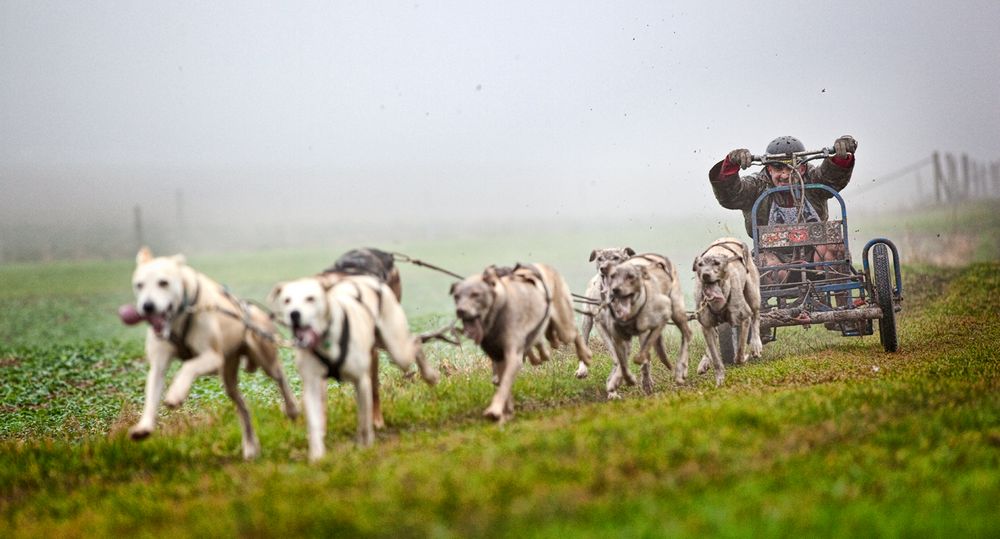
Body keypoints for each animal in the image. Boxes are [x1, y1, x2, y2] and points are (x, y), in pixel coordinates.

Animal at [125, 249, 298, 460]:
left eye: (163, 282)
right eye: (139, 285)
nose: (147, 306)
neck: (180, 316)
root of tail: (254, 310)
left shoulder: (213, 358)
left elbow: (188, 366)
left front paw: (176, 393)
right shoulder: (158, 366)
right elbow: (151, 395)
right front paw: (144, 427)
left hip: (265, 358)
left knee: (280, 377)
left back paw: (292, 408)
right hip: (229, 379)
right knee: (243, 407)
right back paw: (250, 446)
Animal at [270, 276, 438, 462]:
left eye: (310, 298)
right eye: (287, 300)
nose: (294, 314)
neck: (325, 339)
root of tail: (367, 279)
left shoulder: (361, 381)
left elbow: (364, 419)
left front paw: (365, 446)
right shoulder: (313, 383)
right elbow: (315, 421)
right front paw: (317, 456)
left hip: (397, 349)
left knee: (415, 342)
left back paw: (430, 375)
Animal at [450, 264, 588, 424]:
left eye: (475, 294)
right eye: (456, 296)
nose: (460, 311)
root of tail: (545, 266)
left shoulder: (513, 356)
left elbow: (505, 384)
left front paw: (495, 409)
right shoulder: (498, 358)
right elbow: (502, 383)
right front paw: (506, 411)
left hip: (564, 325)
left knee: (576, 333)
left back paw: (585, 355)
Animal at [696, 238, 764, 386]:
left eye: (717, 264)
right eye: (699, 265)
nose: (705, 275)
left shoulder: (744, 318)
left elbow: (740, 351)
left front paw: (743, 357)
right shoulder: (706, 326)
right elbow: (715, 356)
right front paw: (719, 379)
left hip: (753, 295)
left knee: (756, 317)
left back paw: (756, 345)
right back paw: (704, 361)